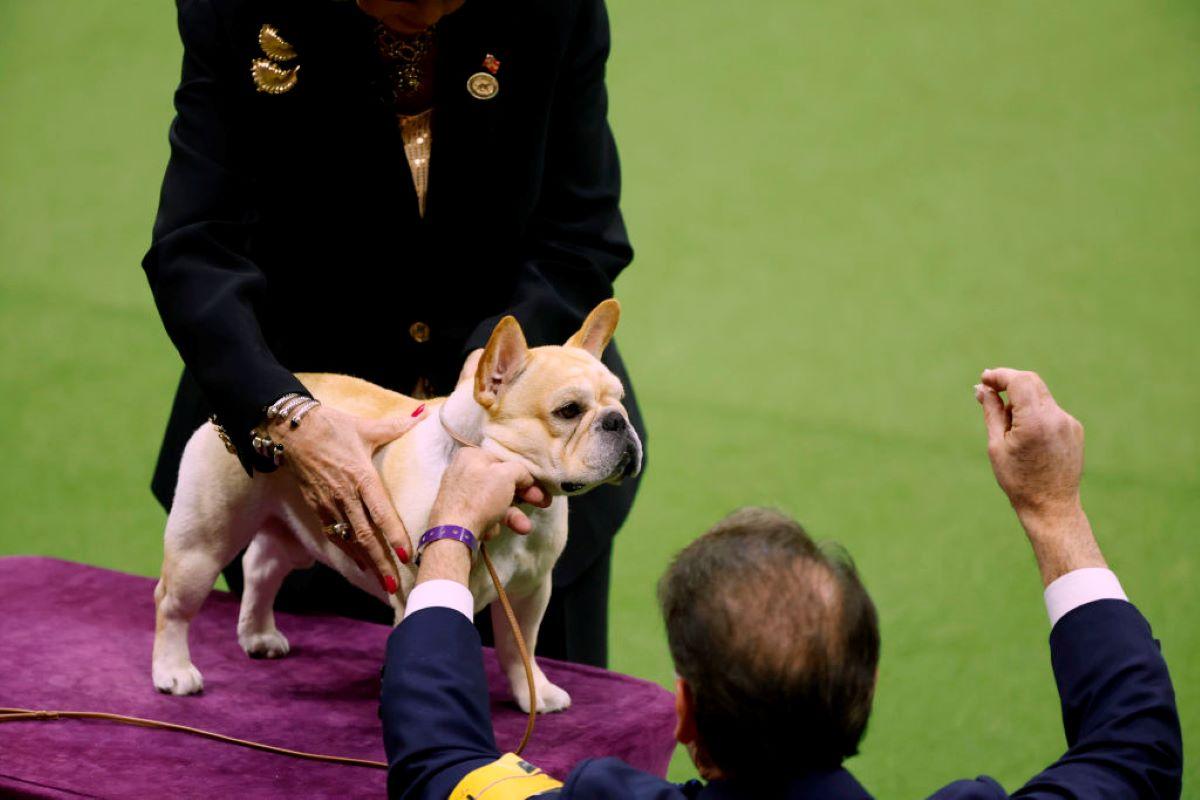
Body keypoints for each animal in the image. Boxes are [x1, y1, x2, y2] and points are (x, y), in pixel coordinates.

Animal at [153, 299, 643, 714]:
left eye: (619, 400)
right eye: (568, 410)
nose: (618, 422)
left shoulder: (529, 591)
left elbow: (519, 646)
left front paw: (534, 693)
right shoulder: (417, 590)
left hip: (301, 531)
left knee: (262, 566)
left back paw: (258, 634)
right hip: (203, 543)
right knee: (173, 601)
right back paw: (173, 670)